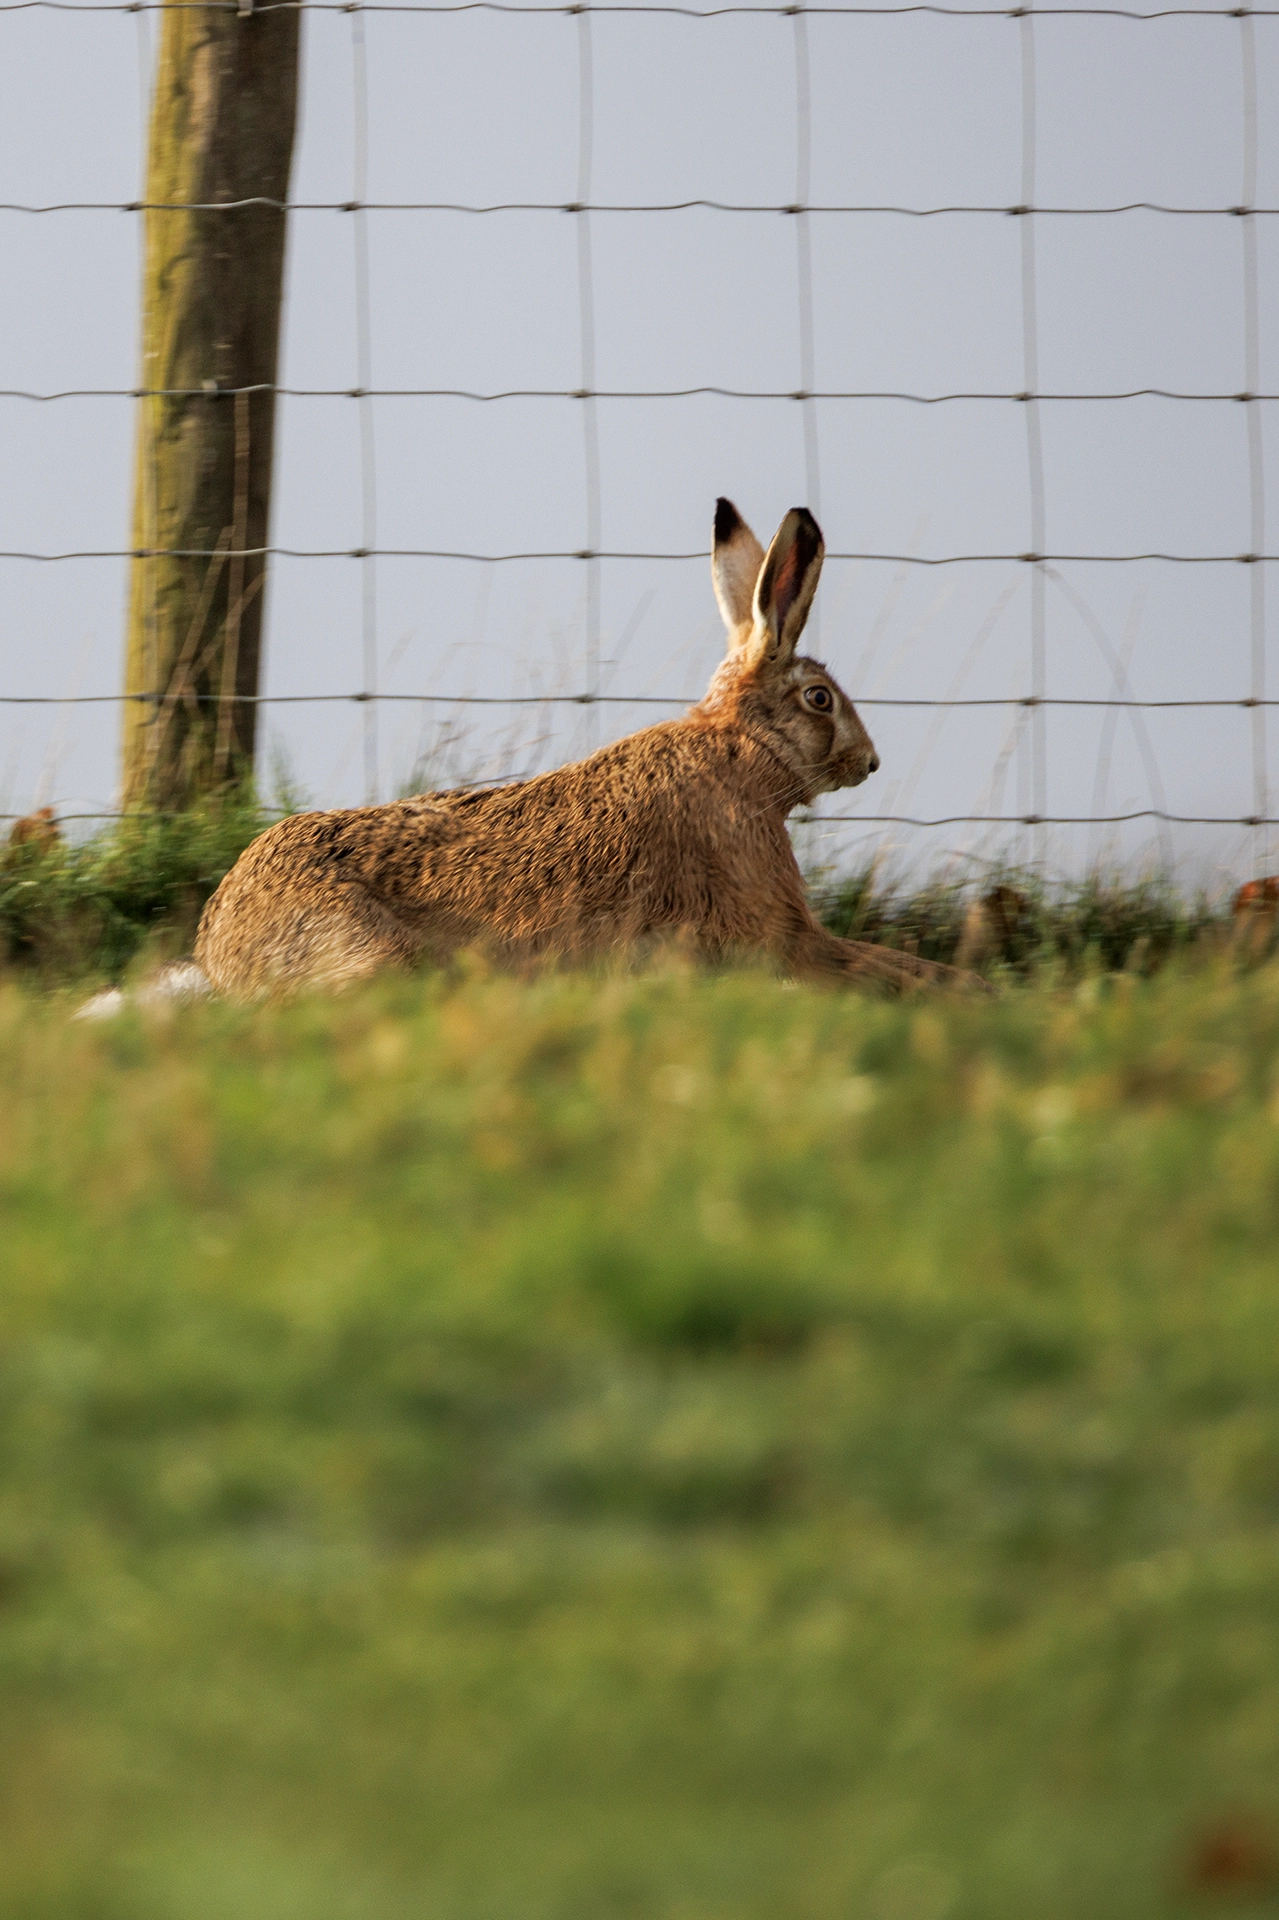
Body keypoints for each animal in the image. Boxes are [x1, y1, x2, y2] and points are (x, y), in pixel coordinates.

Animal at [193, 500, 978, 999]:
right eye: (819, 698)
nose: (869, 763)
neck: (741, 751)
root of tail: (219, 945)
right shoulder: (782, 930)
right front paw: (965, 991)